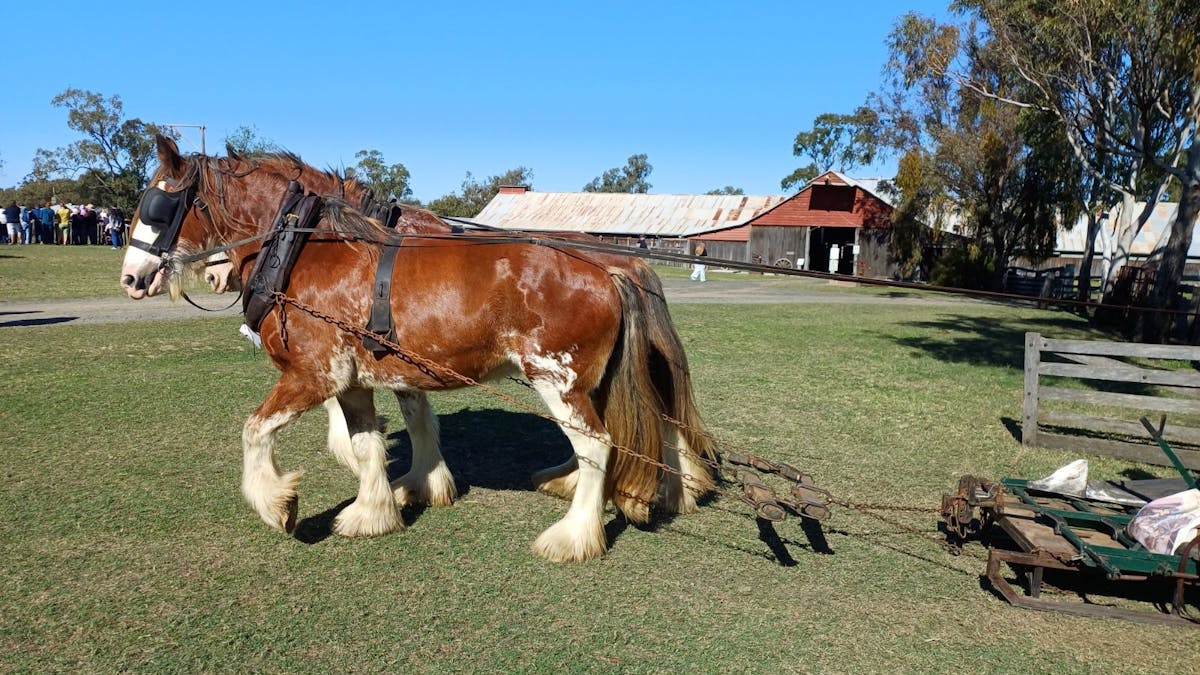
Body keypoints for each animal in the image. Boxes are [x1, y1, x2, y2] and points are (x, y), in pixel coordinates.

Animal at [120, 136, 716, 561]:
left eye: (157, 203)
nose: (130, 277)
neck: (309, 248)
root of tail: (614, 266)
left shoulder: (314, 375)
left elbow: (255, 429)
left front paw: (278, 503)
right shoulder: (367, 377)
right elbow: (375, 441)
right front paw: (383, 505)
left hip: (557, 379)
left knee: (598, 443)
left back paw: (574, 535)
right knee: (659, 421)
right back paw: (668, 491)